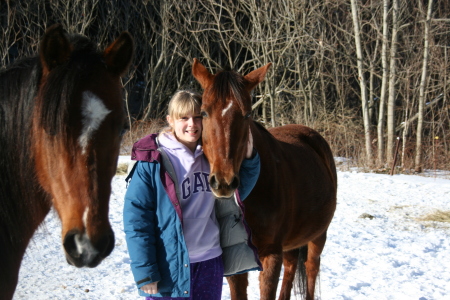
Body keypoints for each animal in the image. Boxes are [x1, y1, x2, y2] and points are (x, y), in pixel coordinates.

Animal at [193, 59, 338, 300]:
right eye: (203, 113)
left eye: (247, 115)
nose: (224, 182)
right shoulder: (235, 261)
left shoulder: (271, 254)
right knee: (291, 268)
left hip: (318, 235)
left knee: (311, 268)